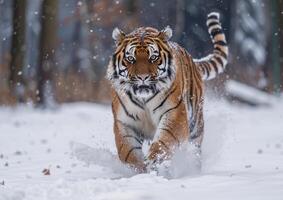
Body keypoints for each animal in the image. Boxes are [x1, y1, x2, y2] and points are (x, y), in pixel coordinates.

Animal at [106, 11, 229, 173]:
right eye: (130, 58)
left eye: (153, 57)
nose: (142, 77)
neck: (143, 98)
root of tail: (193, 61)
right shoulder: (124, 122)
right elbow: (127, 151)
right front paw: (138, 169)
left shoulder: (175, 113)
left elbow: (164, 141)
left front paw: (155, 161)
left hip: (196, 124)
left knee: (195, 148)